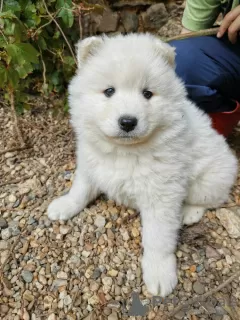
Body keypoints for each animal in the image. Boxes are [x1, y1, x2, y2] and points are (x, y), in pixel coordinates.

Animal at [47, 33, 238, 296]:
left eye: (147, 94)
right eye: (109, 91)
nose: (128, 122)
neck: (123, 151)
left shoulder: (161, 194)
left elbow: (157, 237)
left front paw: (159, 274)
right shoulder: (90, 162)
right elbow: (80, 189)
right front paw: (64, 205)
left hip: (209, 180)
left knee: (210, 200)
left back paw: (188, 213)